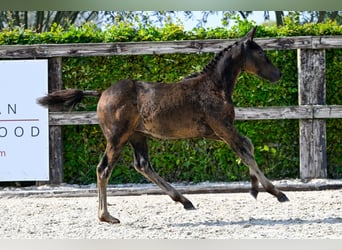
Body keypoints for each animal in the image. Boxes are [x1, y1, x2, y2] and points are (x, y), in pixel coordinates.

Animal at [38, 26, 288, 224]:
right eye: (262, 53)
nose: (278, 74)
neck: (214, 86)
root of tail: (102, 93)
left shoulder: (215, 131)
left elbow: (249, 146)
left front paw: (254, 189)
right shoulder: (224, 128)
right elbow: (246, 153)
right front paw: (276, 192)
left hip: (137, 135)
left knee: (142, 165)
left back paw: (184, 200)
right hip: (117, 138)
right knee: (104, 169)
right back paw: (106, 216)